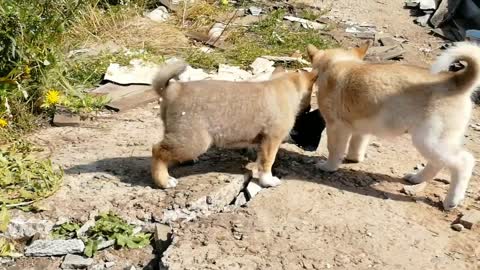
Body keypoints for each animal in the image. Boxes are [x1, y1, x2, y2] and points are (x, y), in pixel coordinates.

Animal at [150, 61, 318, 189]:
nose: (309, 108)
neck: (284, 84)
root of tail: (172, 90)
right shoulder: (272, 139)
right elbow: (267, 162)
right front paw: (267, 181)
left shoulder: (263, 140)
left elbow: (259, 157)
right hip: (195, 141)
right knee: (157, 150)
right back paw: (164, 181)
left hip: (179, 133)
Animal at [308, 41, 480, 210]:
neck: (340, 62)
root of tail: (455, 80)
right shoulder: (361, 127)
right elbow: (357, 144)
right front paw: (353, 158)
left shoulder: (335, 126)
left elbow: (334, 149)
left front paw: (328, 166)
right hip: (437, 142)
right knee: (437, 163)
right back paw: (417, 178)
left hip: (428, 140)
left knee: (464, 162)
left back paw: (452, 200)